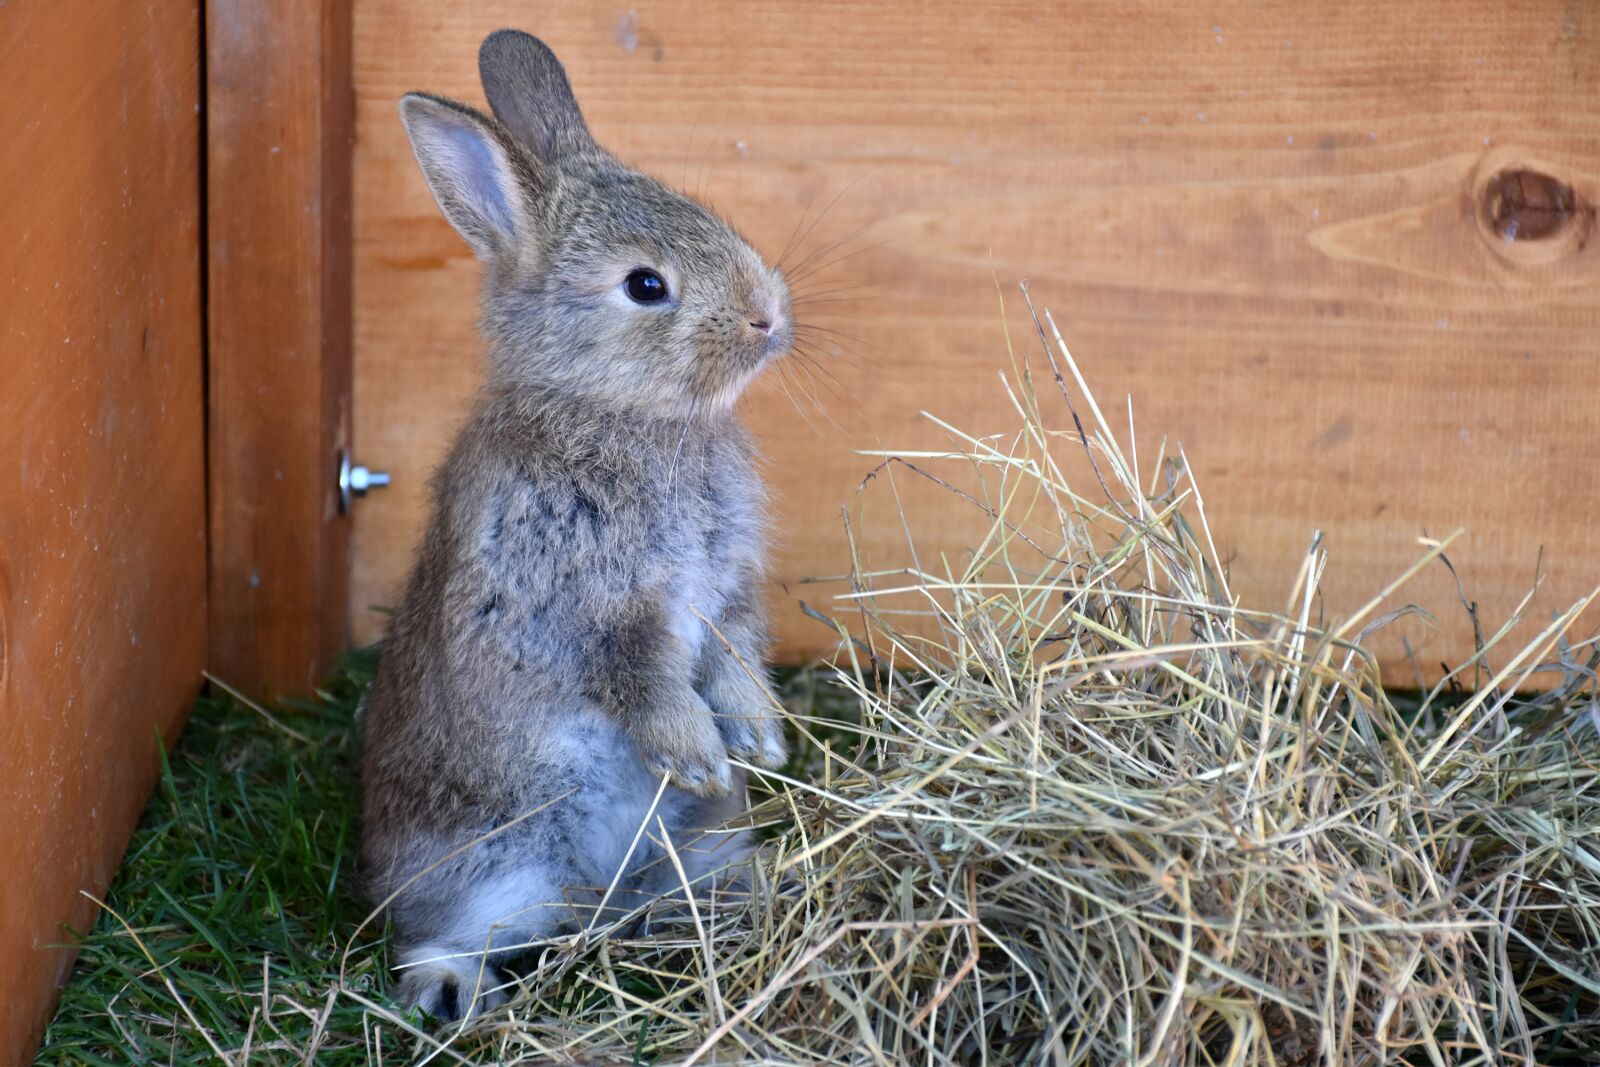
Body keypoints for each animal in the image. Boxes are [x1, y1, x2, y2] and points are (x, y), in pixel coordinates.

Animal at [359, 29, 792, 1021]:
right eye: (646, 285)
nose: (768, 316)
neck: (617, 413)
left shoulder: (728, 593)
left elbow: (736, 653)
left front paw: (759, 740)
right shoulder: (574, 603)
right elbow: (638, 677)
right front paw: (700, 754)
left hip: (691, 847)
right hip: (491, 860)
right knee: (434, 929)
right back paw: (452, 990)